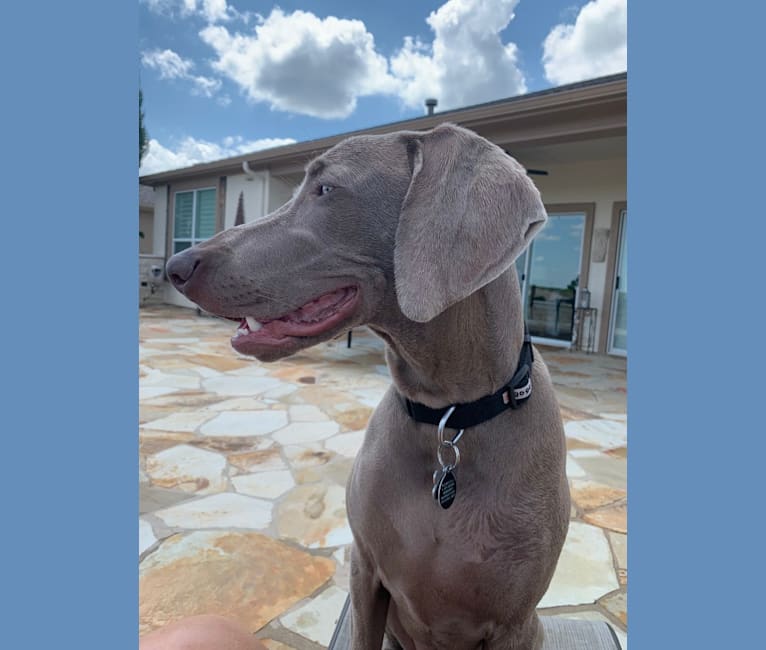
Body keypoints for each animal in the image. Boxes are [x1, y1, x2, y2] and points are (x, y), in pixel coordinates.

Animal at [166, 123, 568, 648]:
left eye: (326, 189)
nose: (176, 266)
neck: (448, 419)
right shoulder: (366, 572)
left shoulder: (512, 620)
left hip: (534, 628)